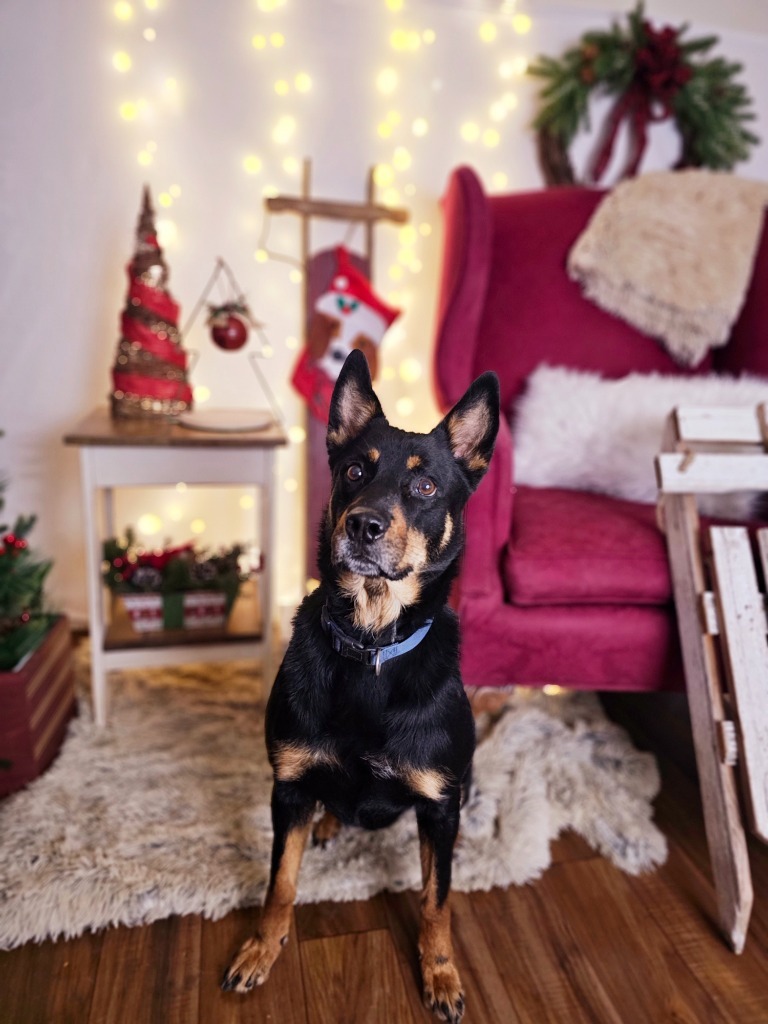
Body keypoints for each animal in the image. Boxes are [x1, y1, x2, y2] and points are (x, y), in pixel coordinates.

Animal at [221, 348, 499, 1019]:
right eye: (353, 470)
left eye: (425, 487)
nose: (362, 525)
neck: (371, 643)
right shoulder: (289, 789)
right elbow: (280, 883)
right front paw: (260, 949)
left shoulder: (437, 805)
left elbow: (435, 900)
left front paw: (441, 973)